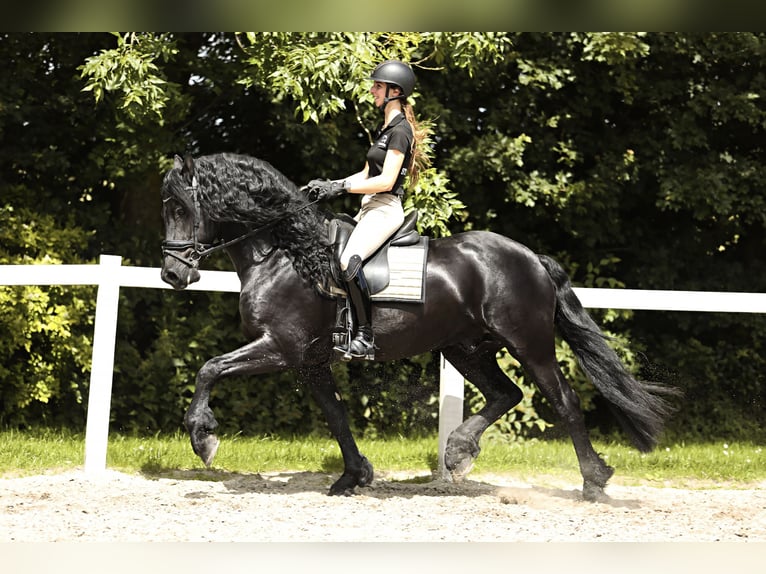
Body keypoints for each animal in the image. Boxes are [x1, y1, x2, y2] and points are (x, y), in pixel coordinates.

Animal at [159, 154, 676, 504]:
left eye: (182, 209)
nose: (172, 274)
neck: (287, 254)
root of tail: (531, 257)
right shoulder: (310, 360)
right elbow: (337, 416)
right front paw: (354, 476)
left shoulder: (282, 347)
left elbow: (209, 368)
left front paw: (203, 438)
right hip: (466, 348)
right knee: (506, 394)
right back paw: (459, 452)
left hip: (528, 344)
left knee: (563, 400)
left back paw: (593, 481)